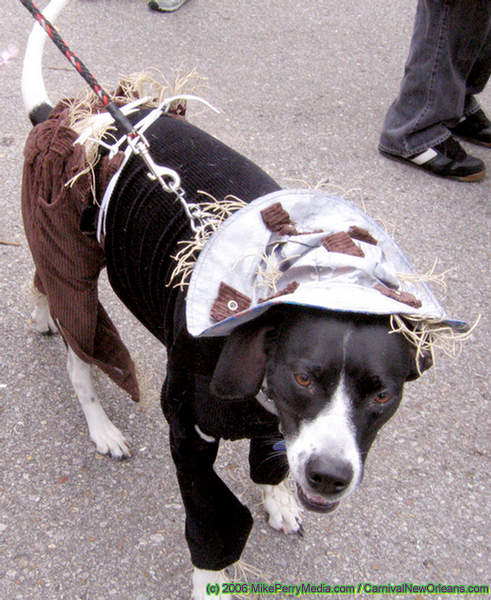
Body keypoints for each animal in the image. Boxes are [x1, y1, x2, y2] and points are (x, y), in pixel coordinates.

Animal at [20, 1, 444, 598]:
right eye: (304, 377)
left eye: (383, 395)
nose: (329, 477)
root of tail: (74, 116)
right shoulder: (190, 437)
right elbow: (211, 520)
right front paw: (210, 579)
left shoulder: (273, 431)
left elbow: (272, 467)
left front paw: (279, 500)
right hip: (74, 265)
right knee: (79, 350)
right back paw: (101, 426)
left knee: (42, 281)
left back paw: (42, 317)